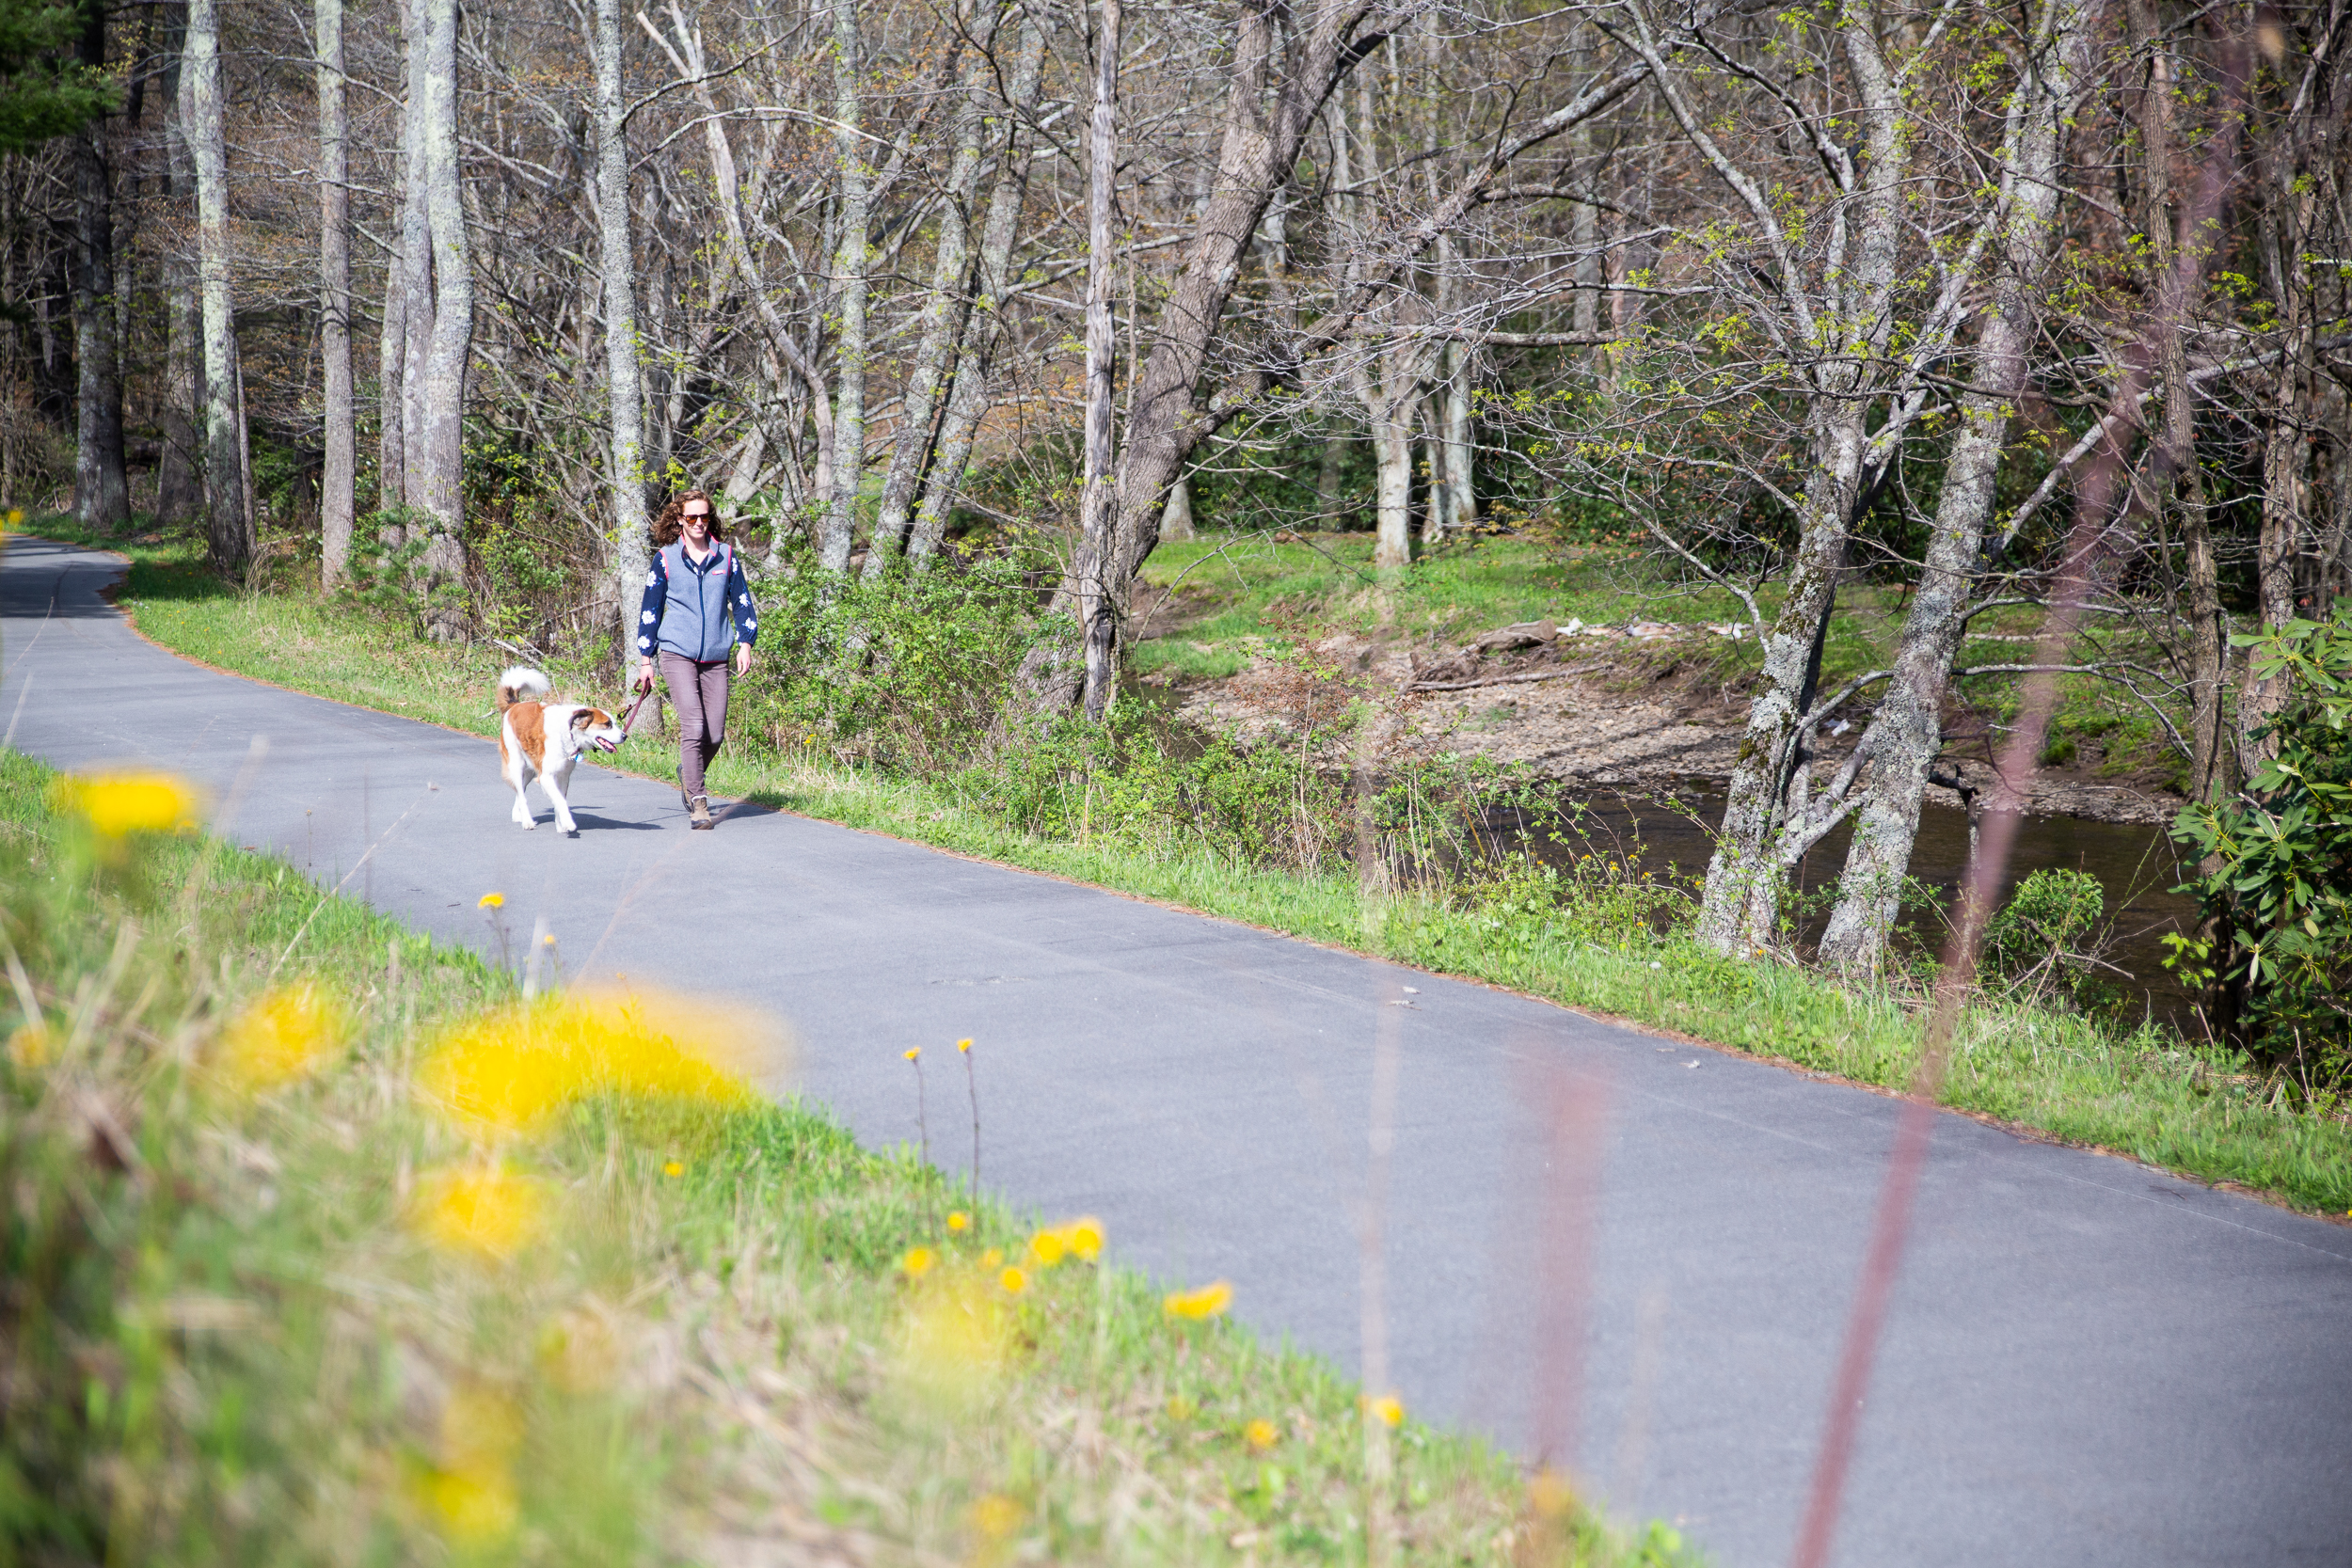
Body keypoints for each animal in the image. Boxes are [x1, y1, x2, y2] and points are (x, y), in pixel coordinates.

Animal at [496, 667, 626, 832]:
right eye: (607, 724)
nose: (625, 736)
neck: (568, 732)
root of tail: (514, 706)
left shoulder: (563, 775)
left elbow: (560, 799)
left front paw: (561, 824)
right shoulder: (546, 777)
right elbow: (561, 801)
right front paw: (568, 822)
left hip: (530, 770)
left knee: (521, 792)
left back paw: (518, 815)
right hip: (517, 764)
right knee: (521, 793)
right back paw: (527, 821)